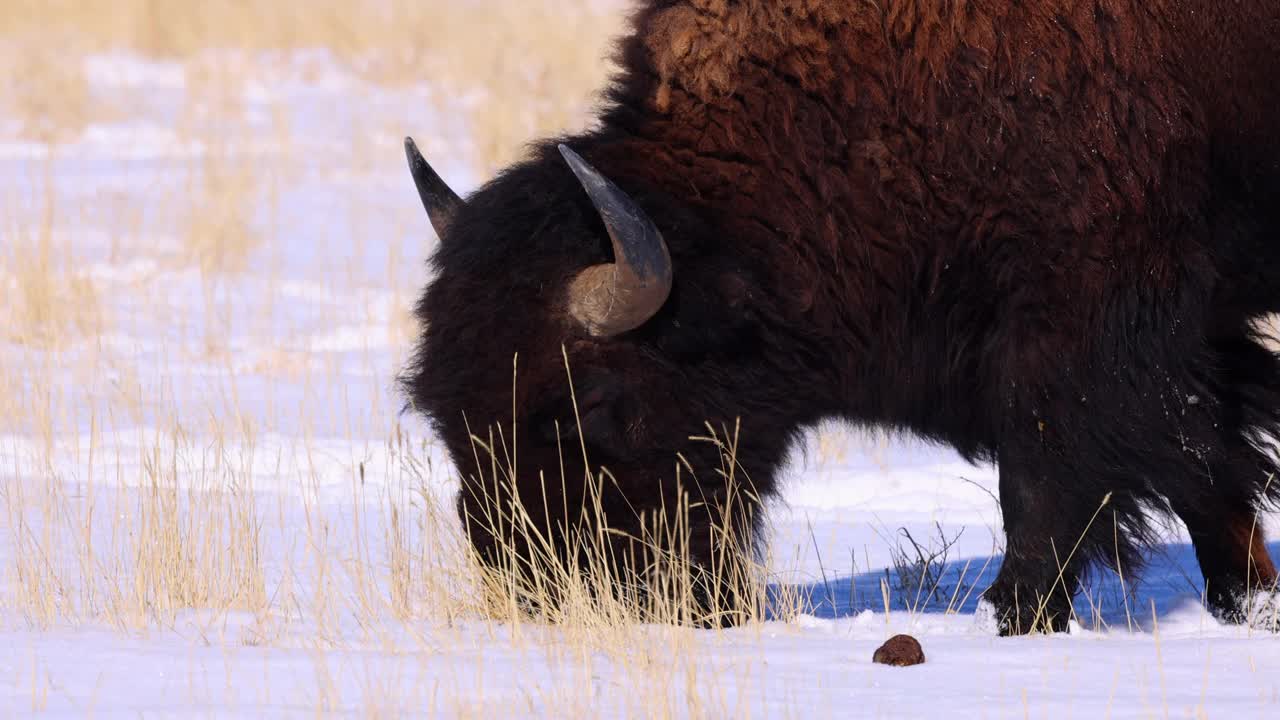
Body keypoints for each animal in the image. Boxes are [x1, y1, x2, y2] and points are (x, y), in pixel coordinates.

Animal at [404, 0, 1280, 630]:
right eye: (443, 415)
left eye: (589, 404)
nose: (541, 595)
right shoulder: (1190, 340)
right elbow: (1212, 471)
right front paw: (1247, 601)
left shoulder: (1083, 325)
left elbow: (1045, 480)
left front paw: (1013, 616)